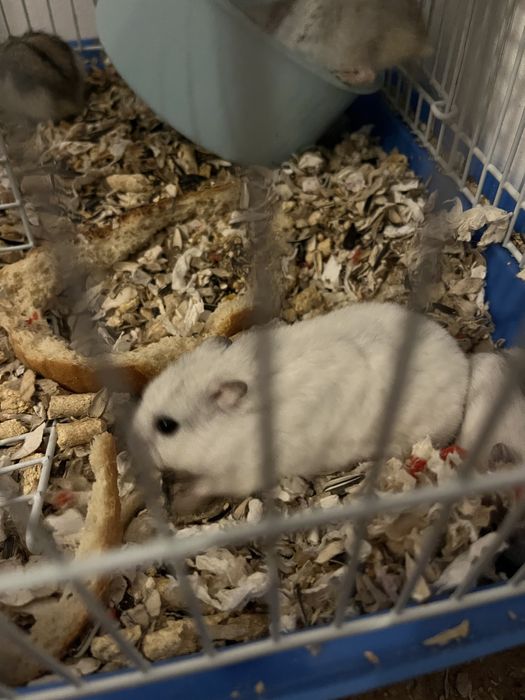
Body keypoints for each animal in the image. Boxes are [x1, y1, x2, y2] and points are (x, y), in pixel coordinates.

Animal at [133, 302, 469, 500]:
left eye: (166, 426)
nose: (131, 442)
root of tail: (461, 361)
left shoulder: (243, 472)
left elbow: (208, 485)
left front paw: (183, 494)